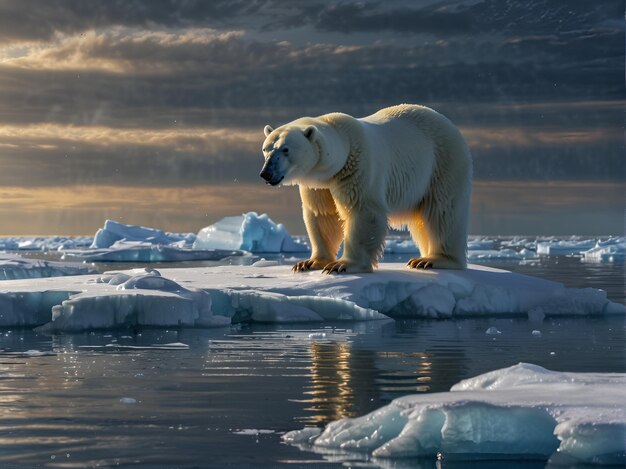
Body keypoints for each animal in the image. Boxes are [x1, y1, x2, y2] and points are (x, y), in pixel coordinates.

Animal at [258, 104, 468, 272]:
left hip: (442, 163)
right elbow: (323, 215)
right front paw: (309, 263)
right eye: (266, 149)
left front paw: (342, 265)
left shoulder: (358, 169)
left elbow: (363, 211)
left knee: (443, 210)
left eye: (285, 149)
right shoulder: (319, 185)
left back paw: (431, 260)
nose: (266, 173)